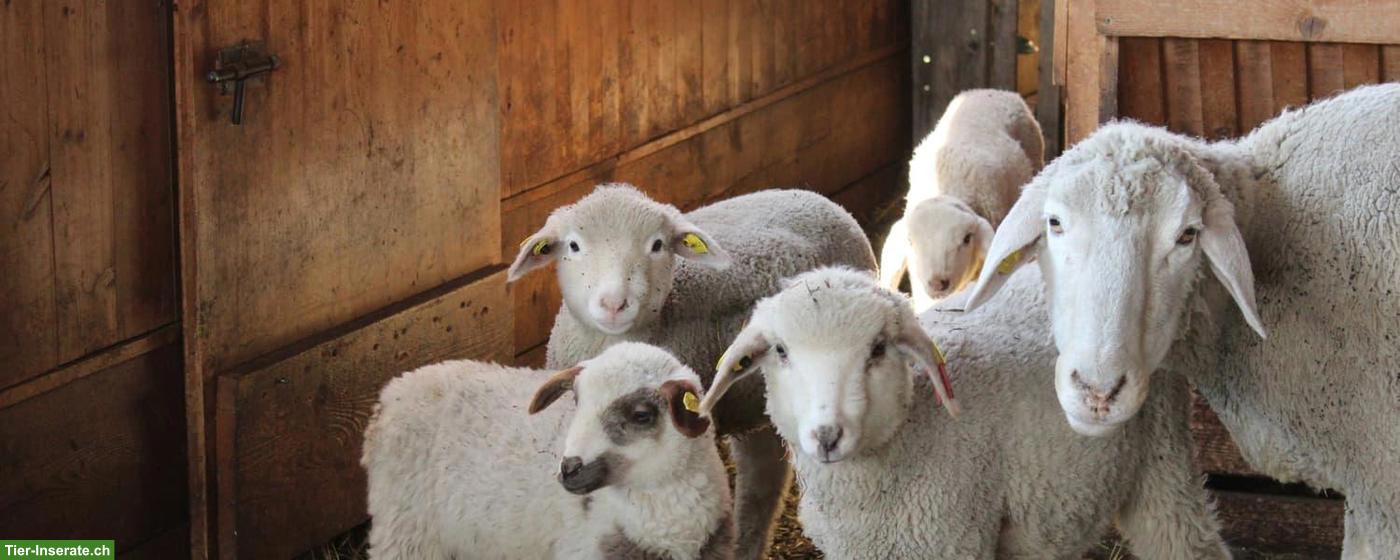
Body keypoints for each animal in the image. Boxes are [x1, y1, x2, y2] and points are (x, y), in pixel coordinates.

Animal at [698, 266, 1229, 559]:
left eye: (877, 349)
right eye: (781, 351)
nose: (827, 436)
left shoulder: (952, 540)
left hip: (1161, 453)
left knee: (1187, 539)